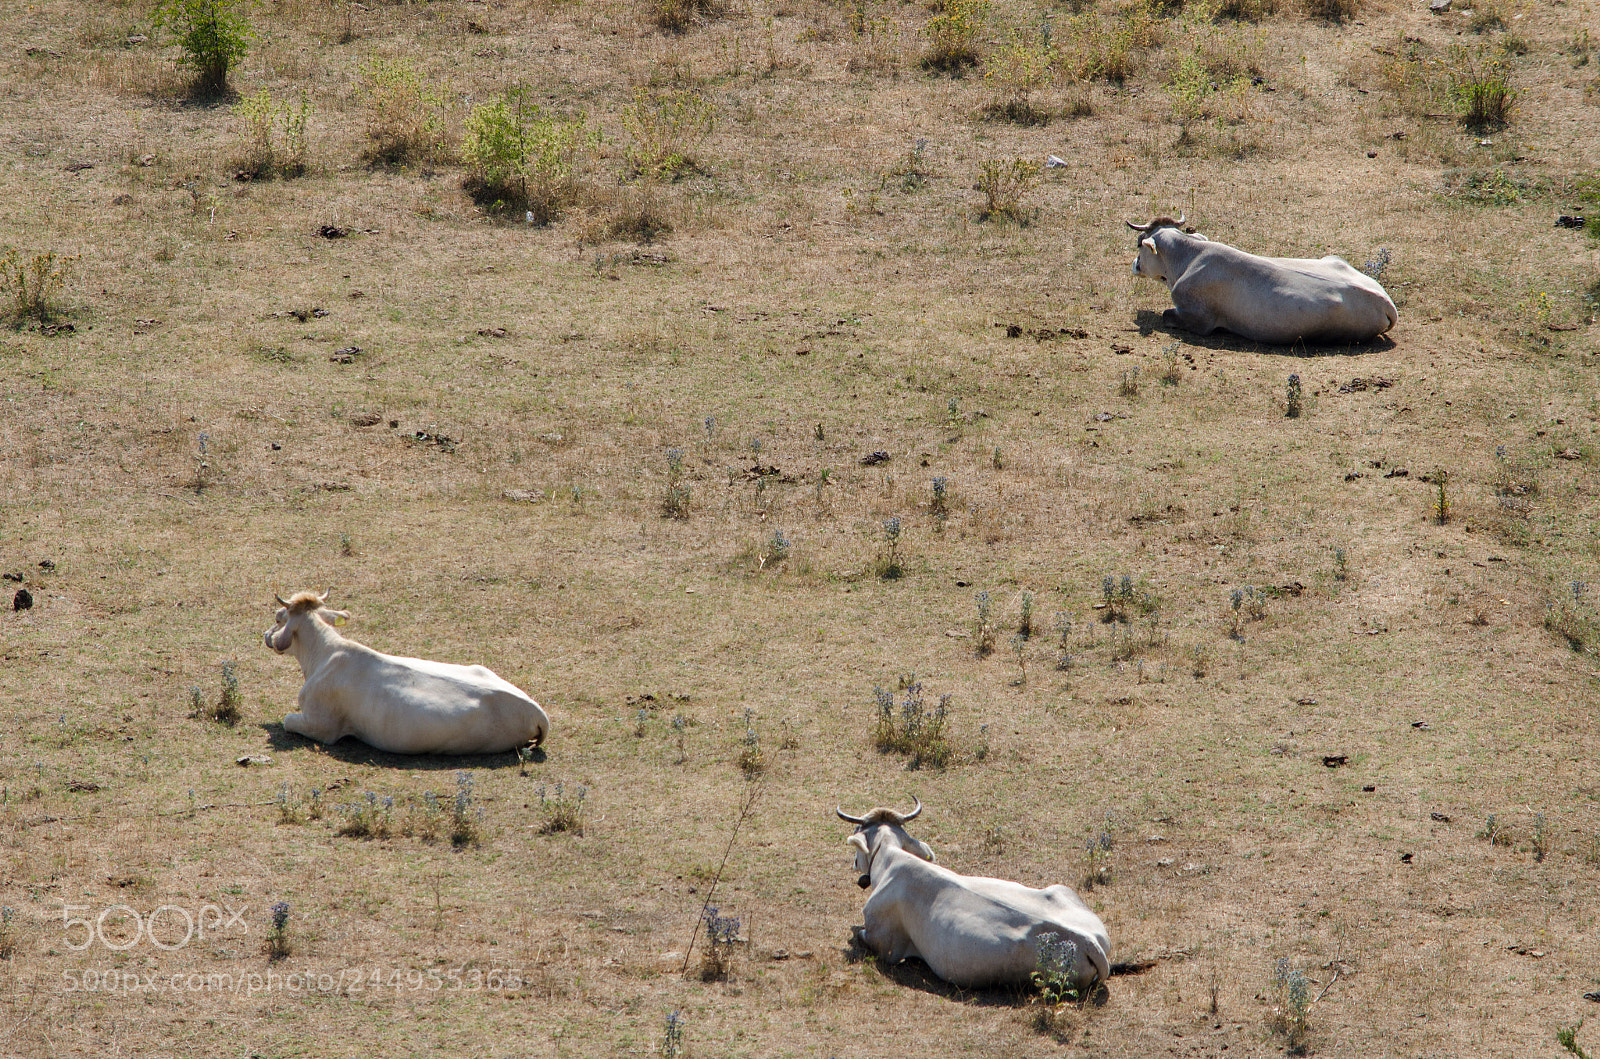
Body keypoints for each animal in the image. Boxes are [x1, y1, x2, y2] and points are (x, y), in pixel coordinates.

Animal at [264, 590, 549, 755]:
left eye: (278, 618)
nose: (266, 635)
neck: (325, 653)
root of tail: (536, 711)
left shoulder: (322, 726)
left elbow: (288, 721)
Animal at [1128, 215, 1398, 344]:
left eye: (1140, 243)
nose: (1135, 264)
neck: (1192, 256)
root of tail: (1385, 302)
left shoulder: (1198, 319)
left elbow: (1166, 315)